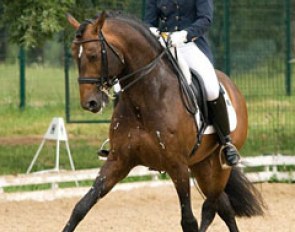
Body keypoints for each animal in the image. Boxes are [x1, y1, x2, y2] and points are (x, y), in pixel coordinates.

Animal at [63, 11, 264, 231]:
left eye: (93, 54)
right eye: (73, 54)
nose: (89, 103)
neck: (147, 97)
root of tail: (231, 86)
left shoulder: (177, 166)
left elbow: (188, 220)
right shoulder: (119, 160)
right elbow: (81, 207)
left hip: (218, 167)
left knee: (212, 206)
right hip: (202, 164)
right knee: (222, 206)